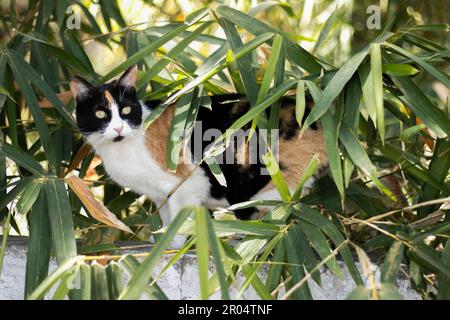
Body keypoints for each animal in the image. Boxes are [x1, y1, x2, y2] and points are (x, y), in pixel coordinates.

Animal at [72, 65, 328, 248]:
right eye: (100, 113)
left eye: (125, 110)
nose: (118, 128)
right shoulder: (160, 194)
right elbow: (166, 218)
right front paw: (160, 240)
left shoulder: (185, 185)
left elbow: (177, 221)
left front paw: (171, 246)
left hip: (268, 186)